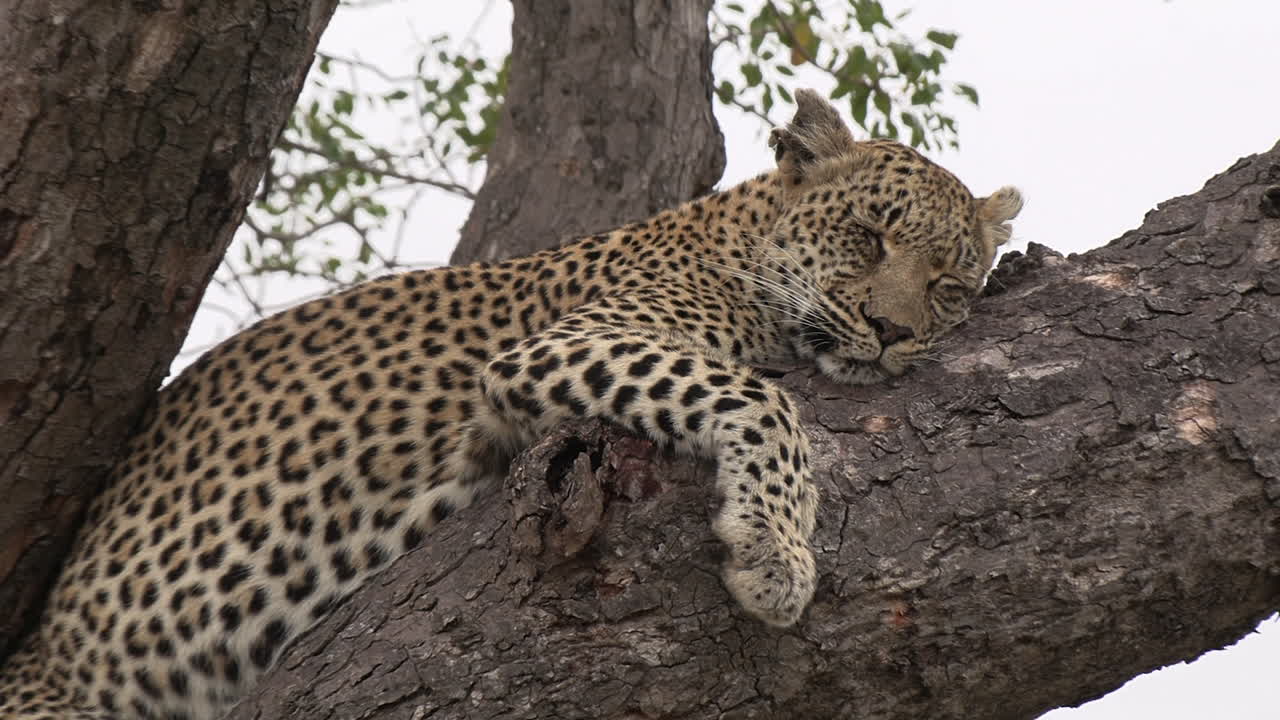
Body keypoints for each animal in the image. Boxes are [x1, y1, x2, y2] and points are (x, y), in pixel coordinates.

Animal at [0, 89, 1022, 719]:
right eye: (869, 234)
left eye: (949, 284)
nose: (890, 332)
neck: (739, 238)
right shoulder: (555, 348)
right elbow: (762, 397)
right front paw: (775, 554)